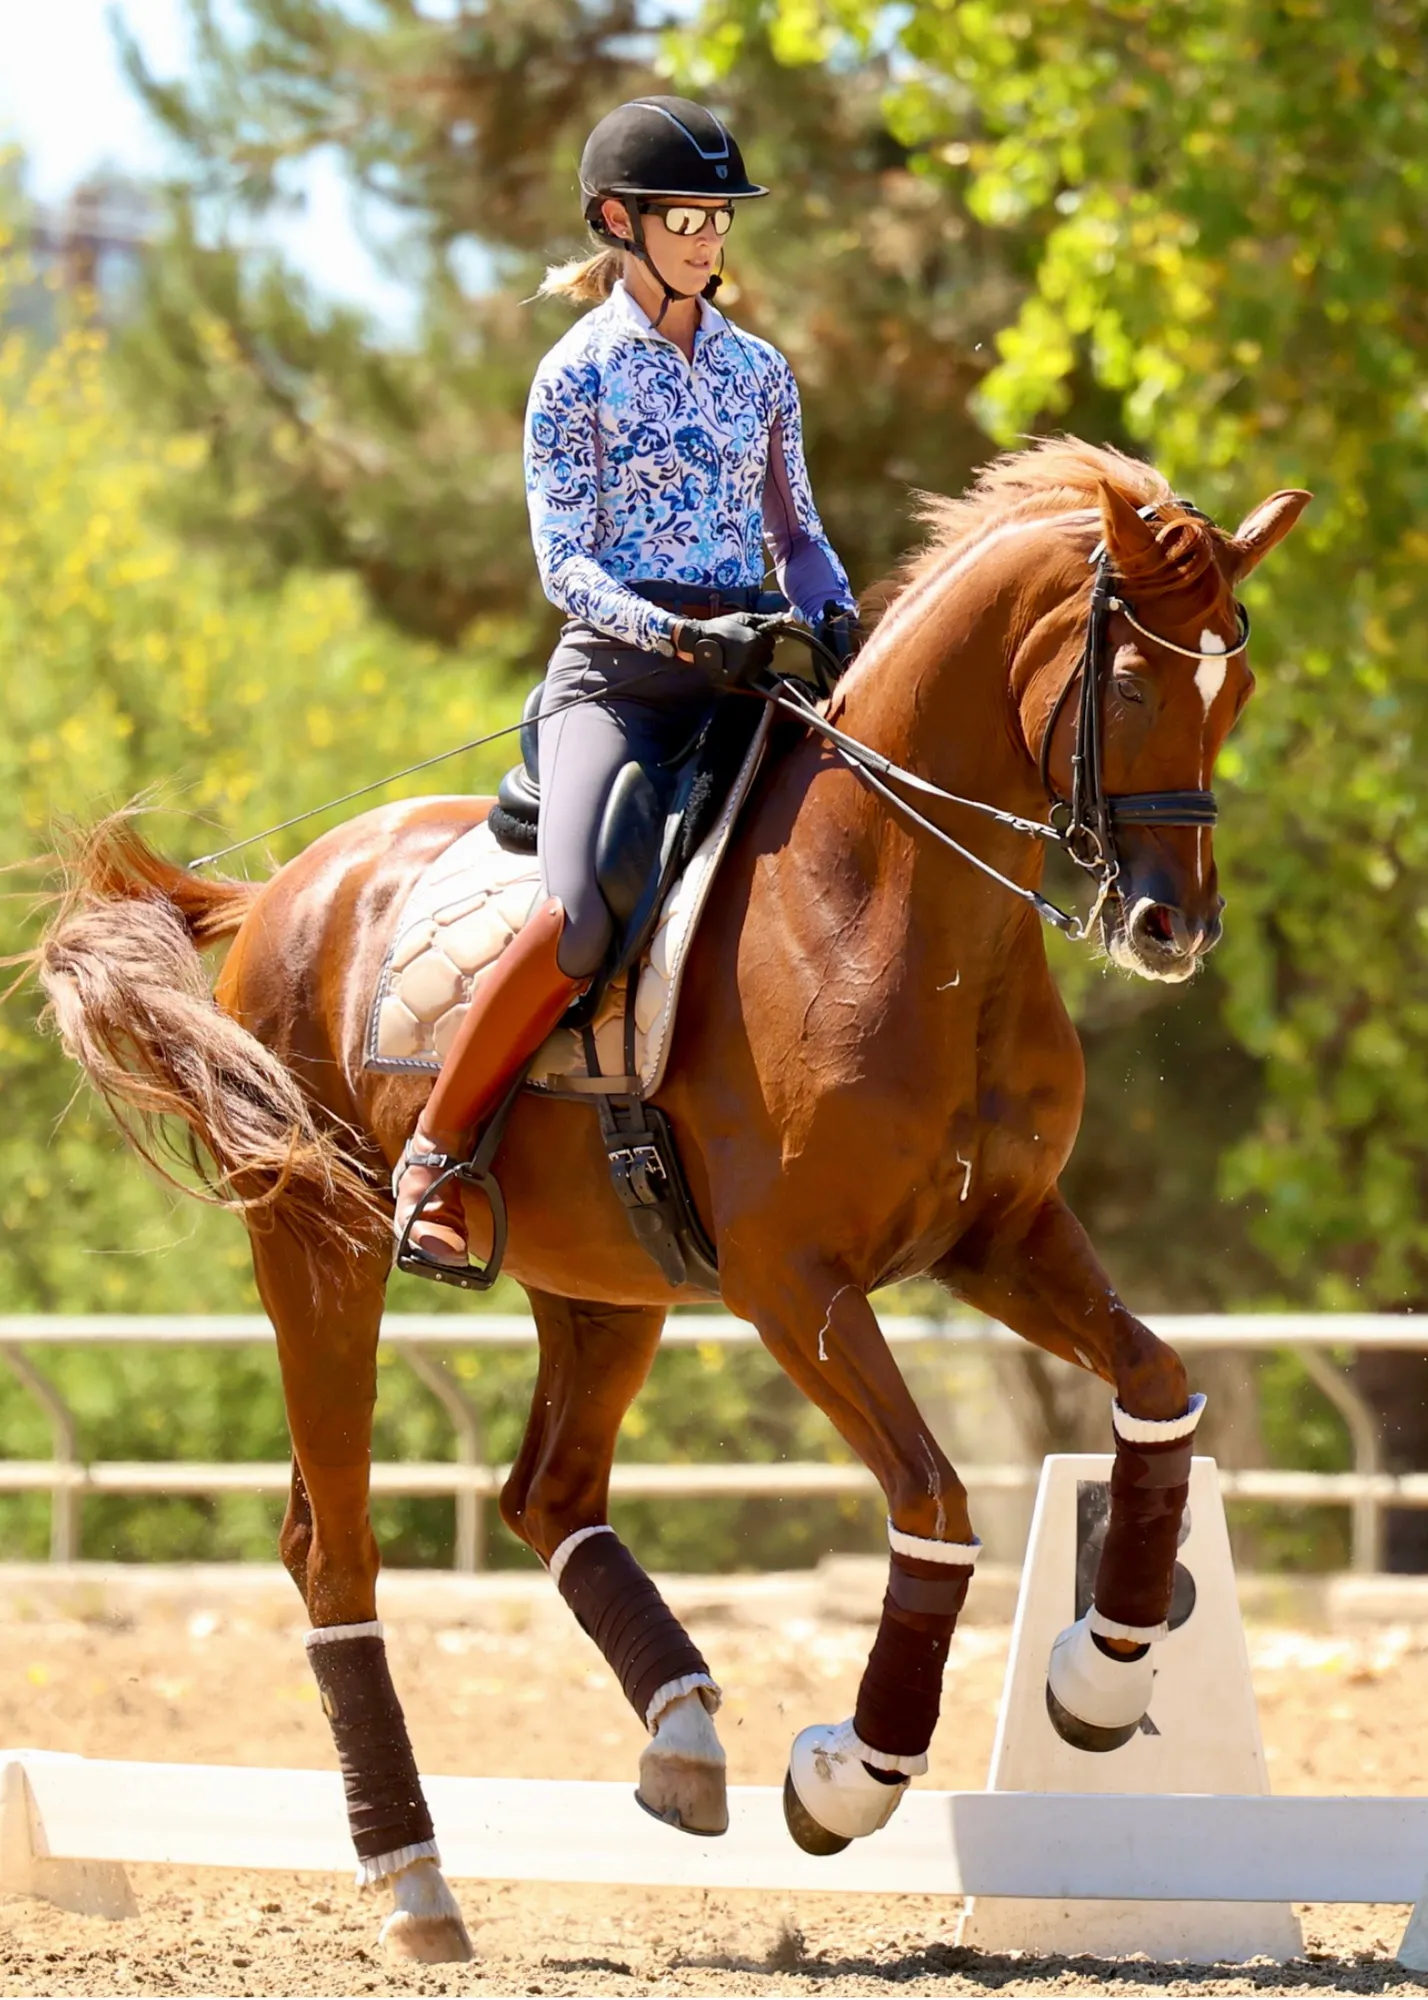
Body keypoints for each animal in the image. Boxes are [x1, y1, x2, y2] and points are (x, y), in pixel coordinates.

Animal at [37, 439, 1308, 1964]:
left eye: (1236, 688)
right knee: (332, 1552)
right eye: (1127, 684)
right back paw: (417, 1879)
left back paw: (684, 1741)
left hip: (605, 1284)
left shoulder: (998, 1236)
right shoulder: (793, 1282)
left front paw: (1102, 1677)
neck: (889, 903)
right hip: (318, 1251)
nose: (1176, 929)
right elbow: (936, 1502)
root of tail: (285, 884)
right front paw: (848, 1776)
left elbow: (1159, 1389)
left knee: (543, 1493)